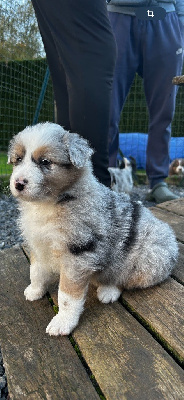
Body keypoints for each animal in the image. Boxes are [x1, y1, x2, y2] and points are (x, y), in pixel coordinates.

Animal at [8, 123, 178, 336]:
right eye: (18, 159)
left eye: (45, 161)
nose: (18, 183)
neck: (51, 202)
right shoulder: (38, 244)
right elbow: (36, 271)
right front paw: (34, 290)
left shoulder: (79, 253)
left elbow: (67, 295)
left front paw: (63, 322)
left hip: (146, 260)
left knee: (124, 276)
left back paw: (109, 290)